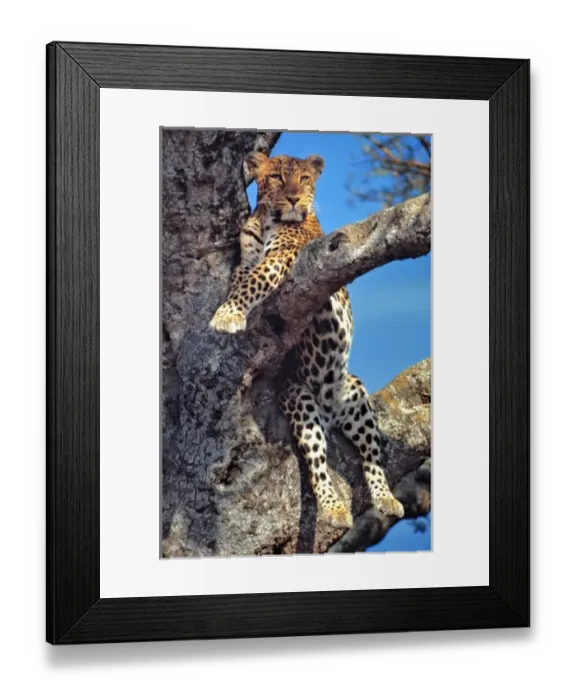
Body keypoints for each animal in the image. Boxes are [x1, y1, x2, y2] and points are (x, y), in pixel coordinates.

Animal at [209, 151, 404, 529]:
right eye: (276, 178)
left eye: (304, 179)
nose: (294, 199)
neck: (267, 219)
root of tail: (329, 412)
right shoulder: (248, 258)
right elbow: (241, 277)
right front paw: (231, 309)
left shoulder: (282, 257)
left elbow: (253, 282)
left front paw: (226, 315)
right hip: (299, 399)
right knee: (318, 464)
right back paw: (334, 507)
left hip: (356, 399)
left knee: (372, 458)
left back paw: (385, 500)